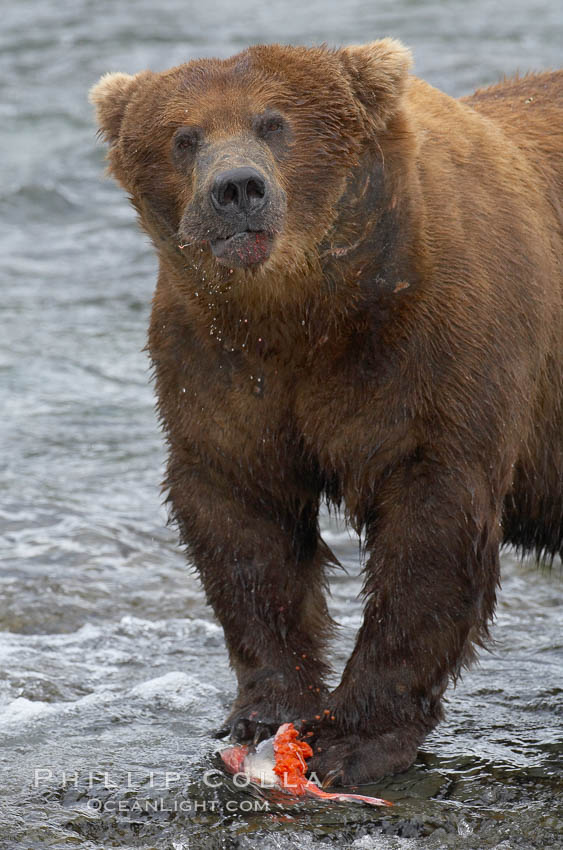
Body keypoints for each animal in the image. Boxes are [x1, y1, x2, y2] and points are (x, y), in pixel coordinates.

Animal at [91, 39, 563, 780]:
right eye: (183, 136)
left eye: (274, 122)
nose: (237, 189)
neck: (312, 312)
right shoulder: (218, 362)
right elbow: (242, 518)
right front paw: (265, 708)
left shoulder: (441, 349)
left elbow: (431, 535)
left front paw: (350, 741)